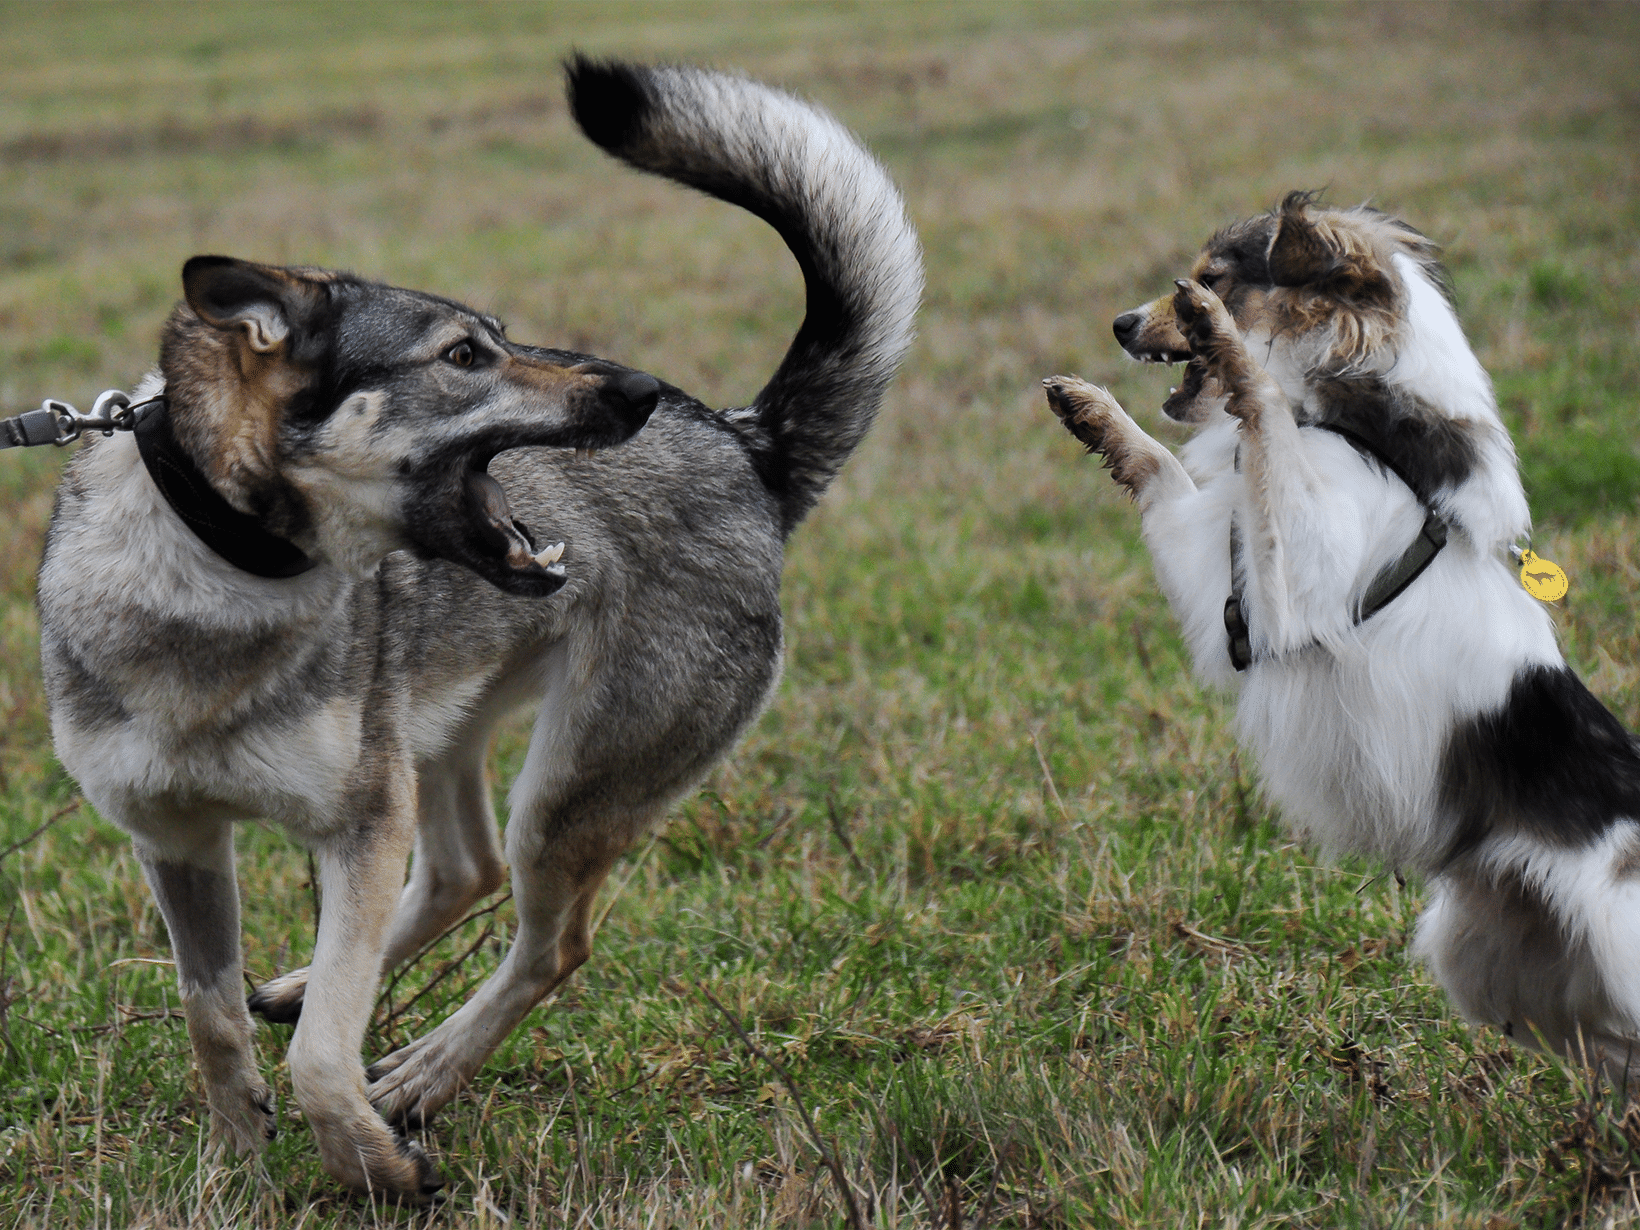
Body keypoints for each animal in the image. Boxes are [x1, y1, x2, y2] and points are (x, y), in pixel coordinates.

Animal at [1043, 190, 1640, 1075]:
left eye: (1216, 275)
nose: (1120, 324)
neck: (1360, 424)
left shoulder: (1296, 582)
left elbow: (1262, 417)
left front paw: (1228, 346)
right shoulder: (1219, 579)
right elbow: (1161, 466)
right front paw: (1091, 412)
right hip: (1493, 966)